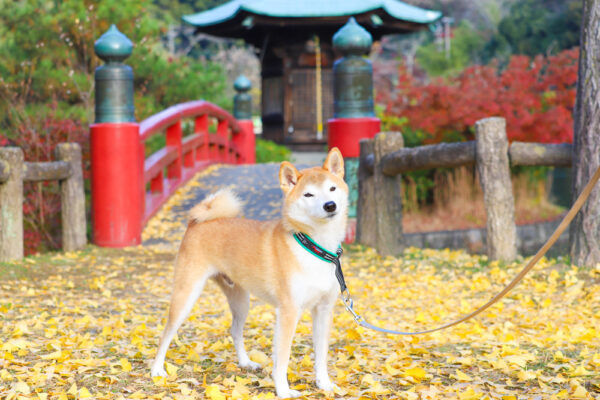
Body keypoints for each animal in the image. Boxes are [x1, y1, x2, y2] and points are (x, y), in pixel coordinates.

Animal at [151, 148, 352, 396]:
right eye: (308, 195)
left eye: (332, 189)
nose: (330, 205)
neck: (314, 247)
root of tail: (196, 222)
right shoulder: (288, 311)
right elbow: (282, 358)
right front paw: (283, 391)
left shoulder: (323, 310)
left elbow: (321, 355)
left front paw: (324, 384)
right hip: (186, 295)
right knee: (166, 333)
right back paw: (157, 370)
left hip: (240, 301)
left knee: (235, 331)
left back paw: (245, 362)